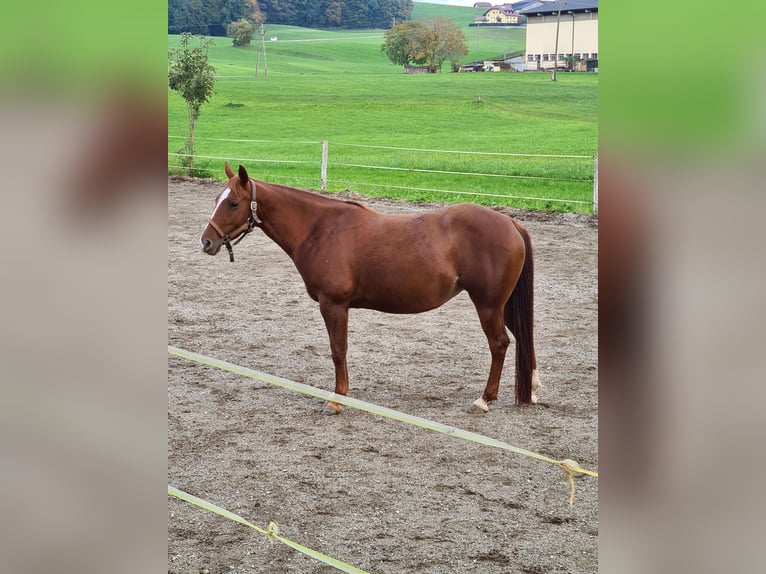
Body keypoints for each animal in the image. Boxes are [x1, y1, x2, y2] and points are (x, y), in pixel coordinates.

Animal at [200, 162, 541, 415]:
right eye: (216, 200)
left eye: (233, 203)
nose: (206, 242)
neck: (320, 229)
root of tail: (511, 223)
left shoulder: (333, 304)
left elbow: (338, 350)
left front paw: (337, 400)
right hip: (501, 305)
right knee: (523, 338)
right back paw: (533, 389)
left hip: (488, 305)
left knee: (499, 344)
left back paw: (484, 399)